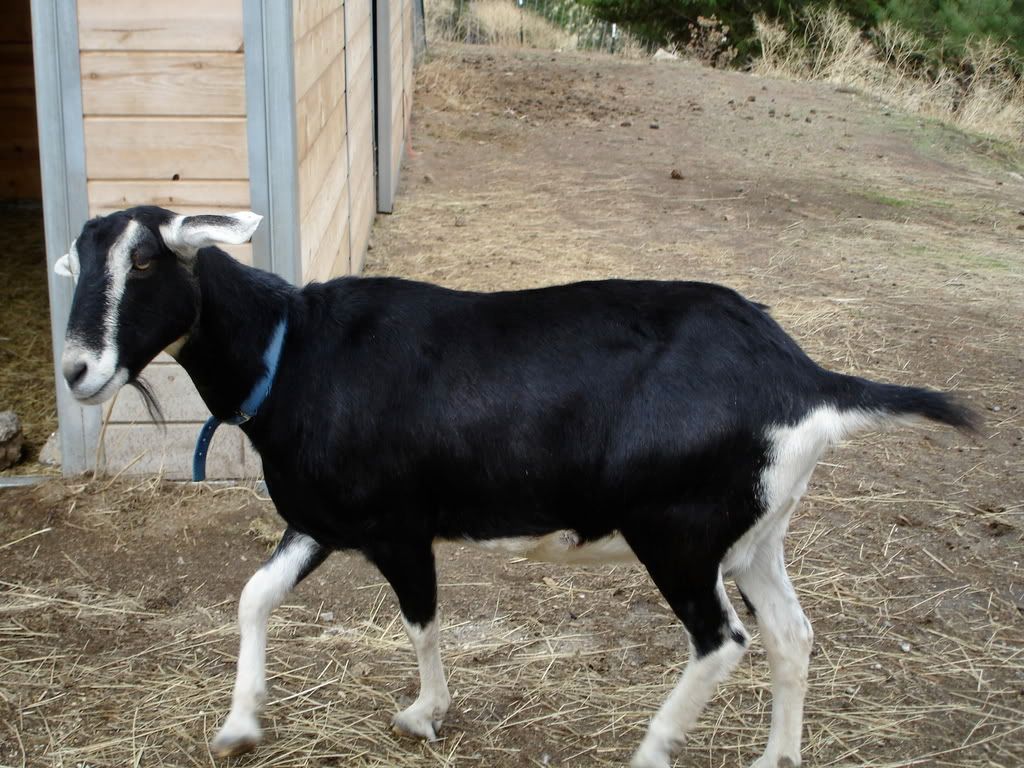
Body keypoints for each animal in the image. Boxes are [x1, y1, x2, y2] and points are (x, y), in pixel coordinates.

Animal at [55, 207, 975, 768]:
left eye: (146, 259)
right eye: (80, 262)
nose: (77, 371)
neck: (295, 352)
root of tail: (806, 380)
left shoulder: (397, 526)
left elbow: (422, 620)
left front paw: (423, 713)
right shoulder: (322, 521)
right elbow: (253, 595)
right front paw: (240, 724)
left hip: (677, 531)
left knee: (722, 640)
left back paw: (652, 747)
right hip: (753, 531)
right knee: (791, 634)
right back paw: (777, 755)